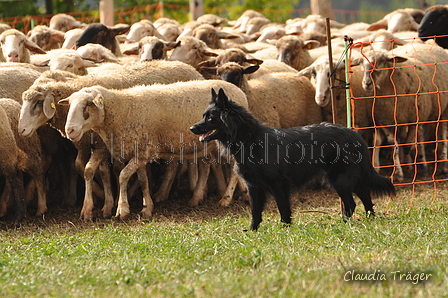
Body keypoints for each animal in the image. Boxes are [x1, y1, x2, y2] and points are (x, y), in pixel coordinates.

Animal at [57, 80, 248, 220]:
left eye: (88, 104)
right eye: (70, 104)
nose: (70, 130)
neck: (123, 109)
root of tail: (239, 92)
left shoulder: (143, 152)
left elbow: (123, 176)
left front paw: (122, 209)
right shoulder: (141, 152)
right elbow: (143, 180)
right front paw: (147, 208)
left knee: (234, 169)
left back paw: (226, 199)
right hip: (210, 144)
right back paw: (200, 198)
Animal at [191, 88, 394, 230]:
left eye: (210, 118)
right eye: (203, 116)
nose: (192, 128)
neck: (249, 139)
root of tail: (355, 135)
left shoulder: (278, 184)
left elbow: (283, 208)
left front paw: (285, 228)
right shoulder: (253, 186)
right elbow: (255, 211)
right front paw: (253, 231)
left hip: (340, 179)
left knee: (351, 203)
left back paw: (344, 223)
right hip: (350, 178)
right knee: (365, 197)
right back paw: (370, 218)